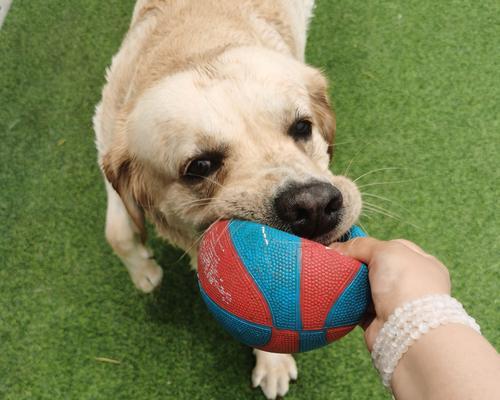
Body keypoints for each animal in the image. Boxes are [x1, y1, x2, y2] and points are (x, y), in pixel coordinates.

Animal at [93, 1, 360, 398]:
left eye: (302, 127)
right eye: (200, 166)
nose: (313, 205)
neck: (196, 44)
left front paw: (272, 362)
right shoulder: (106, 138)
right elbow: (119, 231)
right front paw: (144, 272)